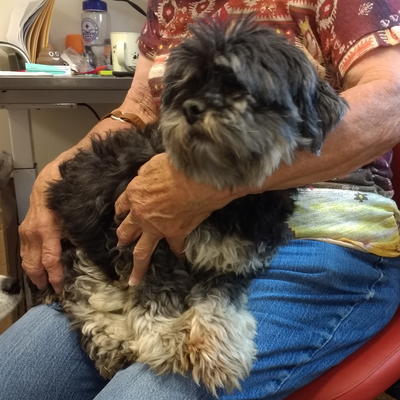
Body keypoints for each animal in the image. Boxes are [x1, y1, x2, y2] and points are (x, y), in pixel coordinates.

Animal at [43, 17, 346, 396]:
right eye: (189, 83)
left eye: (238, 85)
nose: (191, 108)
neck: (223, 196)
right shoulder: (142, 242)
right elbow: (154, 295)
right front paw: (168, 338)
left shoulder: (230, 260)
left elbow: (218, 302)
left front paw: (217, 349)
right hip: (81, 247)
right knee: (86, 296)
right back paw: (115, 343)